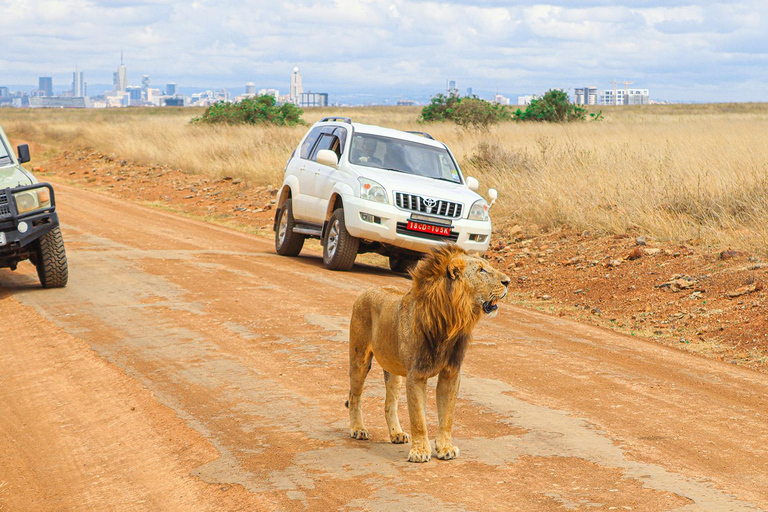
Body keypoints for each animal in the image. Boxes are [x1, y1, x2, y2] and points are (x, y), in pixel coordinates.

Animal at [348, 242, 510, 462]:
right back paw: (358, 429)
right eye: (481, 270)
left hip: (394, 371)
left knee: (390, 403)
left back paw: (397, 434)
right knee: (354, 395)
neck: (452, 320)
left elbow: (447, 416)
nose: (508, 282)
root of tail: (368, 290)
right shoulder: (416, 375)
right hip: (360, 359)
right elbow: (418, 418)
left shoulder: (451, 373)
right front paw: (420, 451)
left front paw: (445, 447)